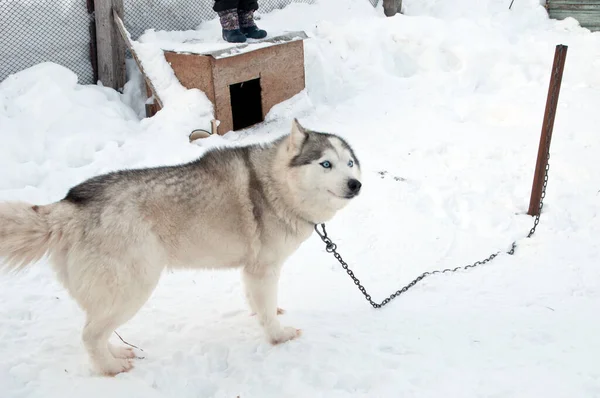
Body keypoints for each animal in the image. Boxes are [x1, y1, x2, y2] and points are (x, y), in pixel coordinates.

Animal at [0, 117, 360, 376]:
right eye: (325, 164)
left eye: (350, 163)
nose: (356, 184)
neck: (275, 185)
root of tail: (71, 203)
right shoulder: (264, 269)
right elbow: (268, 315)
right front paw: (278, 335)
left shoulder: (252, 270)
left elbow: (259, 302)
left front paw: (264, 312)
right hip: (134, 287)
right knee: (90, 335)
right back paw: (111, 367)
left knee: (97, 332)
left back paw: (117, 353)